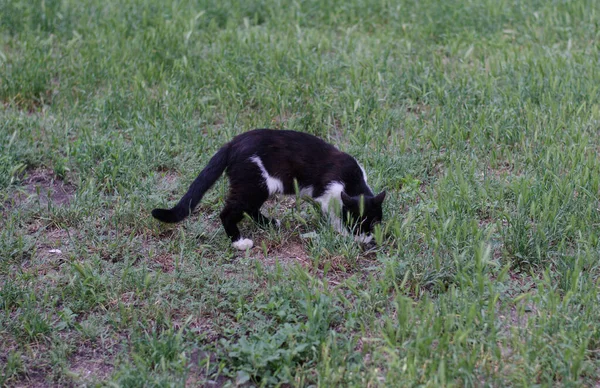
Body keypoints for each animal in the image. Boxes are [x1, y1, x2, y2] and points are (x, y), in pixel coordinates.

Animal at [152, 129, 386, 250]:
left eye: (374, 222)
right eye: (356, 223)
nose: (366, 239)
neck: (352, 181)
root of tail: (232, 143)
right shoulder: (327, 193)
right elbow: (334, 215)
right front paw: (347, 234)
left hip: (257, 187)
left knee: (249, 209)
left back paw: (271, 223)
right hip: (253, 184)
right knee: (228, 212)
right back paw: (239, 242)